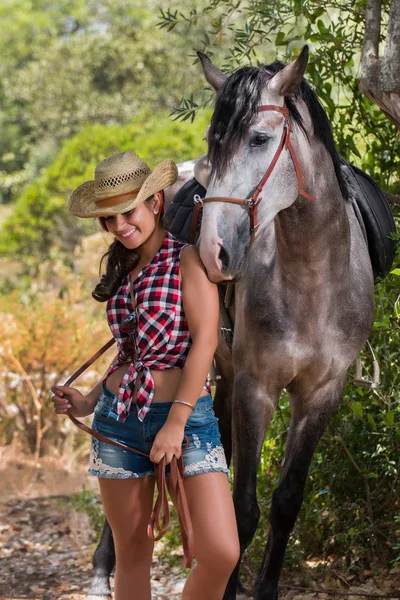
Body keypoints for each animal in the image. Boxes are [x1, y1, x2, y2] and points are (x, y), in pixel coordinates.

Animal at [195, 48, 376, 600]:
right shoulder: (257, 389)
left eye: (259, 139)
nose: (212, 253)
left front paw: (262, 588)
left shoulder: (321, 393)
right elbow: (243, 511)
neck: (312, 279)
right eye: (212, 141)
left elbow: (285, 502)